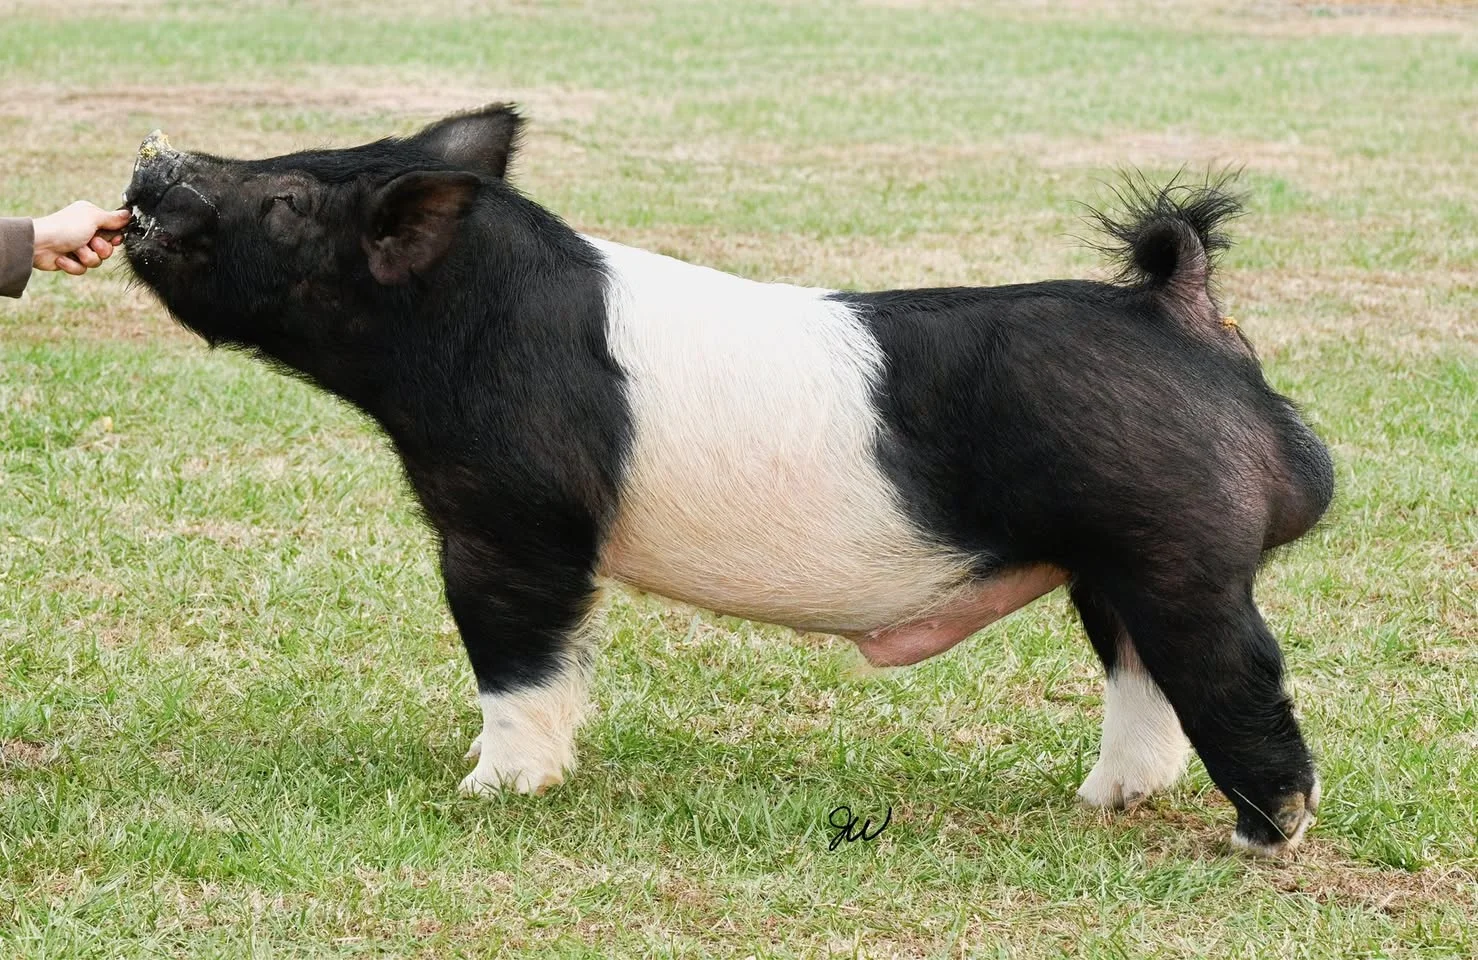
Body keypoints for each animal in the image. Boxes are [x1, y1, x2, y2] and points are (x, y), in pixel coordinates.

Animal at [121, 106, 1334, 856]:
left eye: (288, 199)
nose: (153, 165)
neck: (464, 325)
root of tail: (1177, 309)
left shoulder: (514, 521)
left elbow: (518, 659)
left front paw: (488, 790)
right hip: (1113, 561)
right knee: (1141, 677)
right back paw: (1101, 803)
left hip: (1176, 547)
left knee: (1234, 675)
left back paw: (1262, 839)